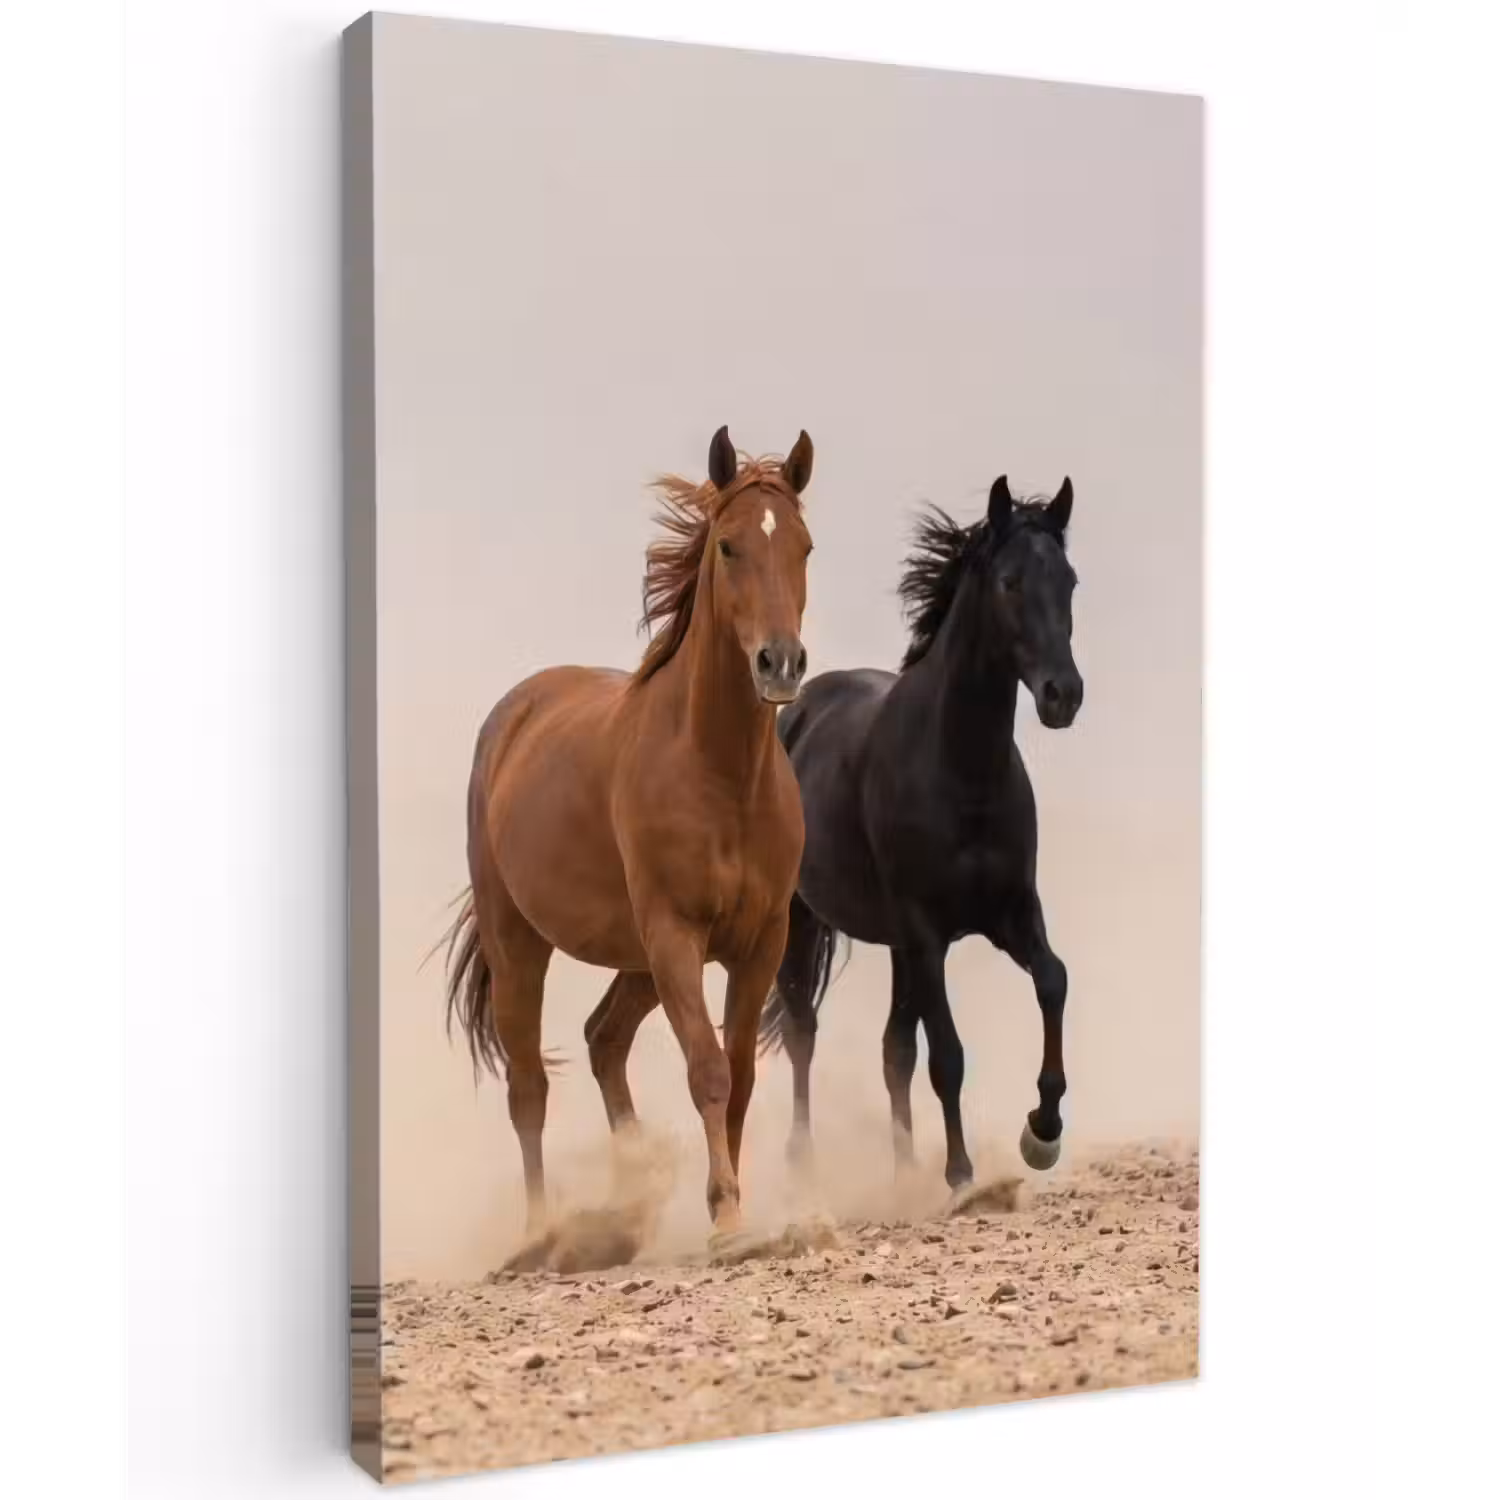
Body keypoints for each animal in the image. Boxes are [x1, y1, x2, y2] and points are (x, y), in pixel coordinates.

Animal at [442, 426, 817, 1251]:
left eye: (804, 545)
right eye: (729, 547)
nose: (780, 663)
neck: (720, 772)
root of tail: (514, 713)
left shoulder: (760, 941)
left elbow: (741, 1076)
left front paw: (730, 1206)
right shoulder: (675, 934)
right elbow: (708, 1070)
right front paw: (727, 1219)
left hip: (635, 960)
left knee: (603, 1039)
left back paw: (628, 1200)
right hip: (522, 943)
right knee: (528, 1086)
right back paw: (542, 1233)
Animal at [756, 473, 1083, 1197]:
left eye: (1070, 581)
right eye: (1010, 582)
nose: (1063, 695)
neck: (962, 773)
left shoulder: (1012, 912)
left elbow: (1052, 979)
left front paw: (1042, 1132)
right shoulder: (928, 931)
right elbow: (949, 1055)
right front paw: (961, 1175)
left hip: (897, 947)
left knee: (893, 1049)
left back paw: (903, 1169)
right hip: (802, 919)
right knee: (803, 1028)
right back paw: (803, 1162)